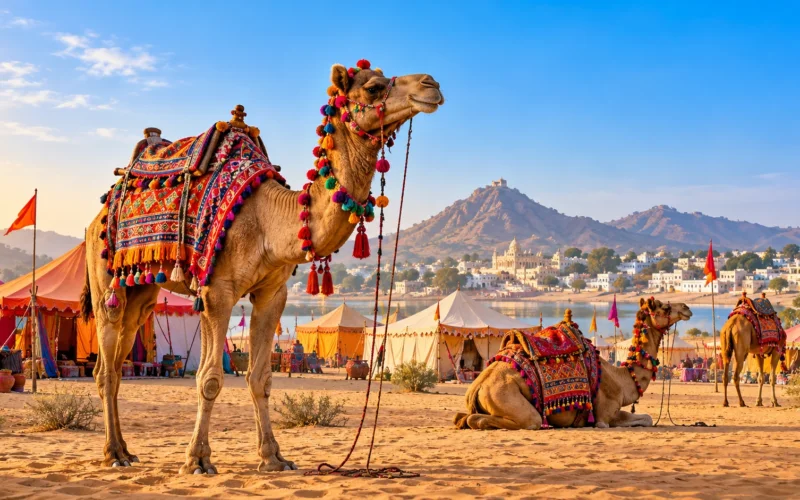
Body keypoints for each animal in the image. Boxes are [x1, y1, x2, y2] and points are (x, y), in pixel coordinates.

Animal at [80, 63, 444, 473]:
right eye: (373, 88)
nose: (431, 84)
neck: (269, 220)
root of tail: (97, 217)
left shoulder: (272, 293)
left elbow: (261, 378)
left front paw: (273, 456)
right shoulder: (217, 292)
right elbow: (209, 378)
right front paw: (197, 460)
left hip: (141, 293)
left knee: (118, 355)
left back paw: (125, 450)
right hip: (104, 275)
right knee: (105, 366)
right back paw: (113, 453)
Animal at [454, 297, 692, 430]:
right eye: (663, 308)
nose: (687, 307)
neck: (621, 379)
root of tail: (477, 386)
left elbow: (647, 418)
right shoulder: (604, 416)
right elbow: (647, 418)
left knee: (462, 417)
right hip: (506, 396)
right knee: (522, 420)